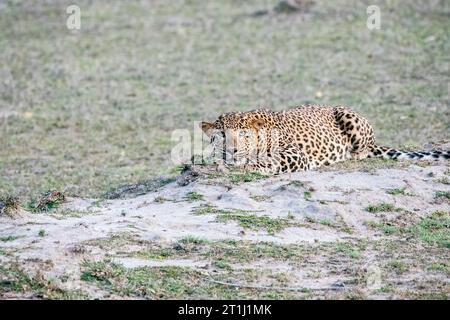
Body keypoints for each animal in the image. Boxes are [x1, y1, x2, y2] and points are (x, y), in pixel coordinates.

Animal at [201, 104, 450, 175]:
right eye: (222, 135)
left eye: (243, 134)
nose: (232, 150)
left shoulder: (295, 154)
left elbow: (271, 160)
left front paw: (253, 165)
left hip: (351, 120)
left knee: (363, 151)